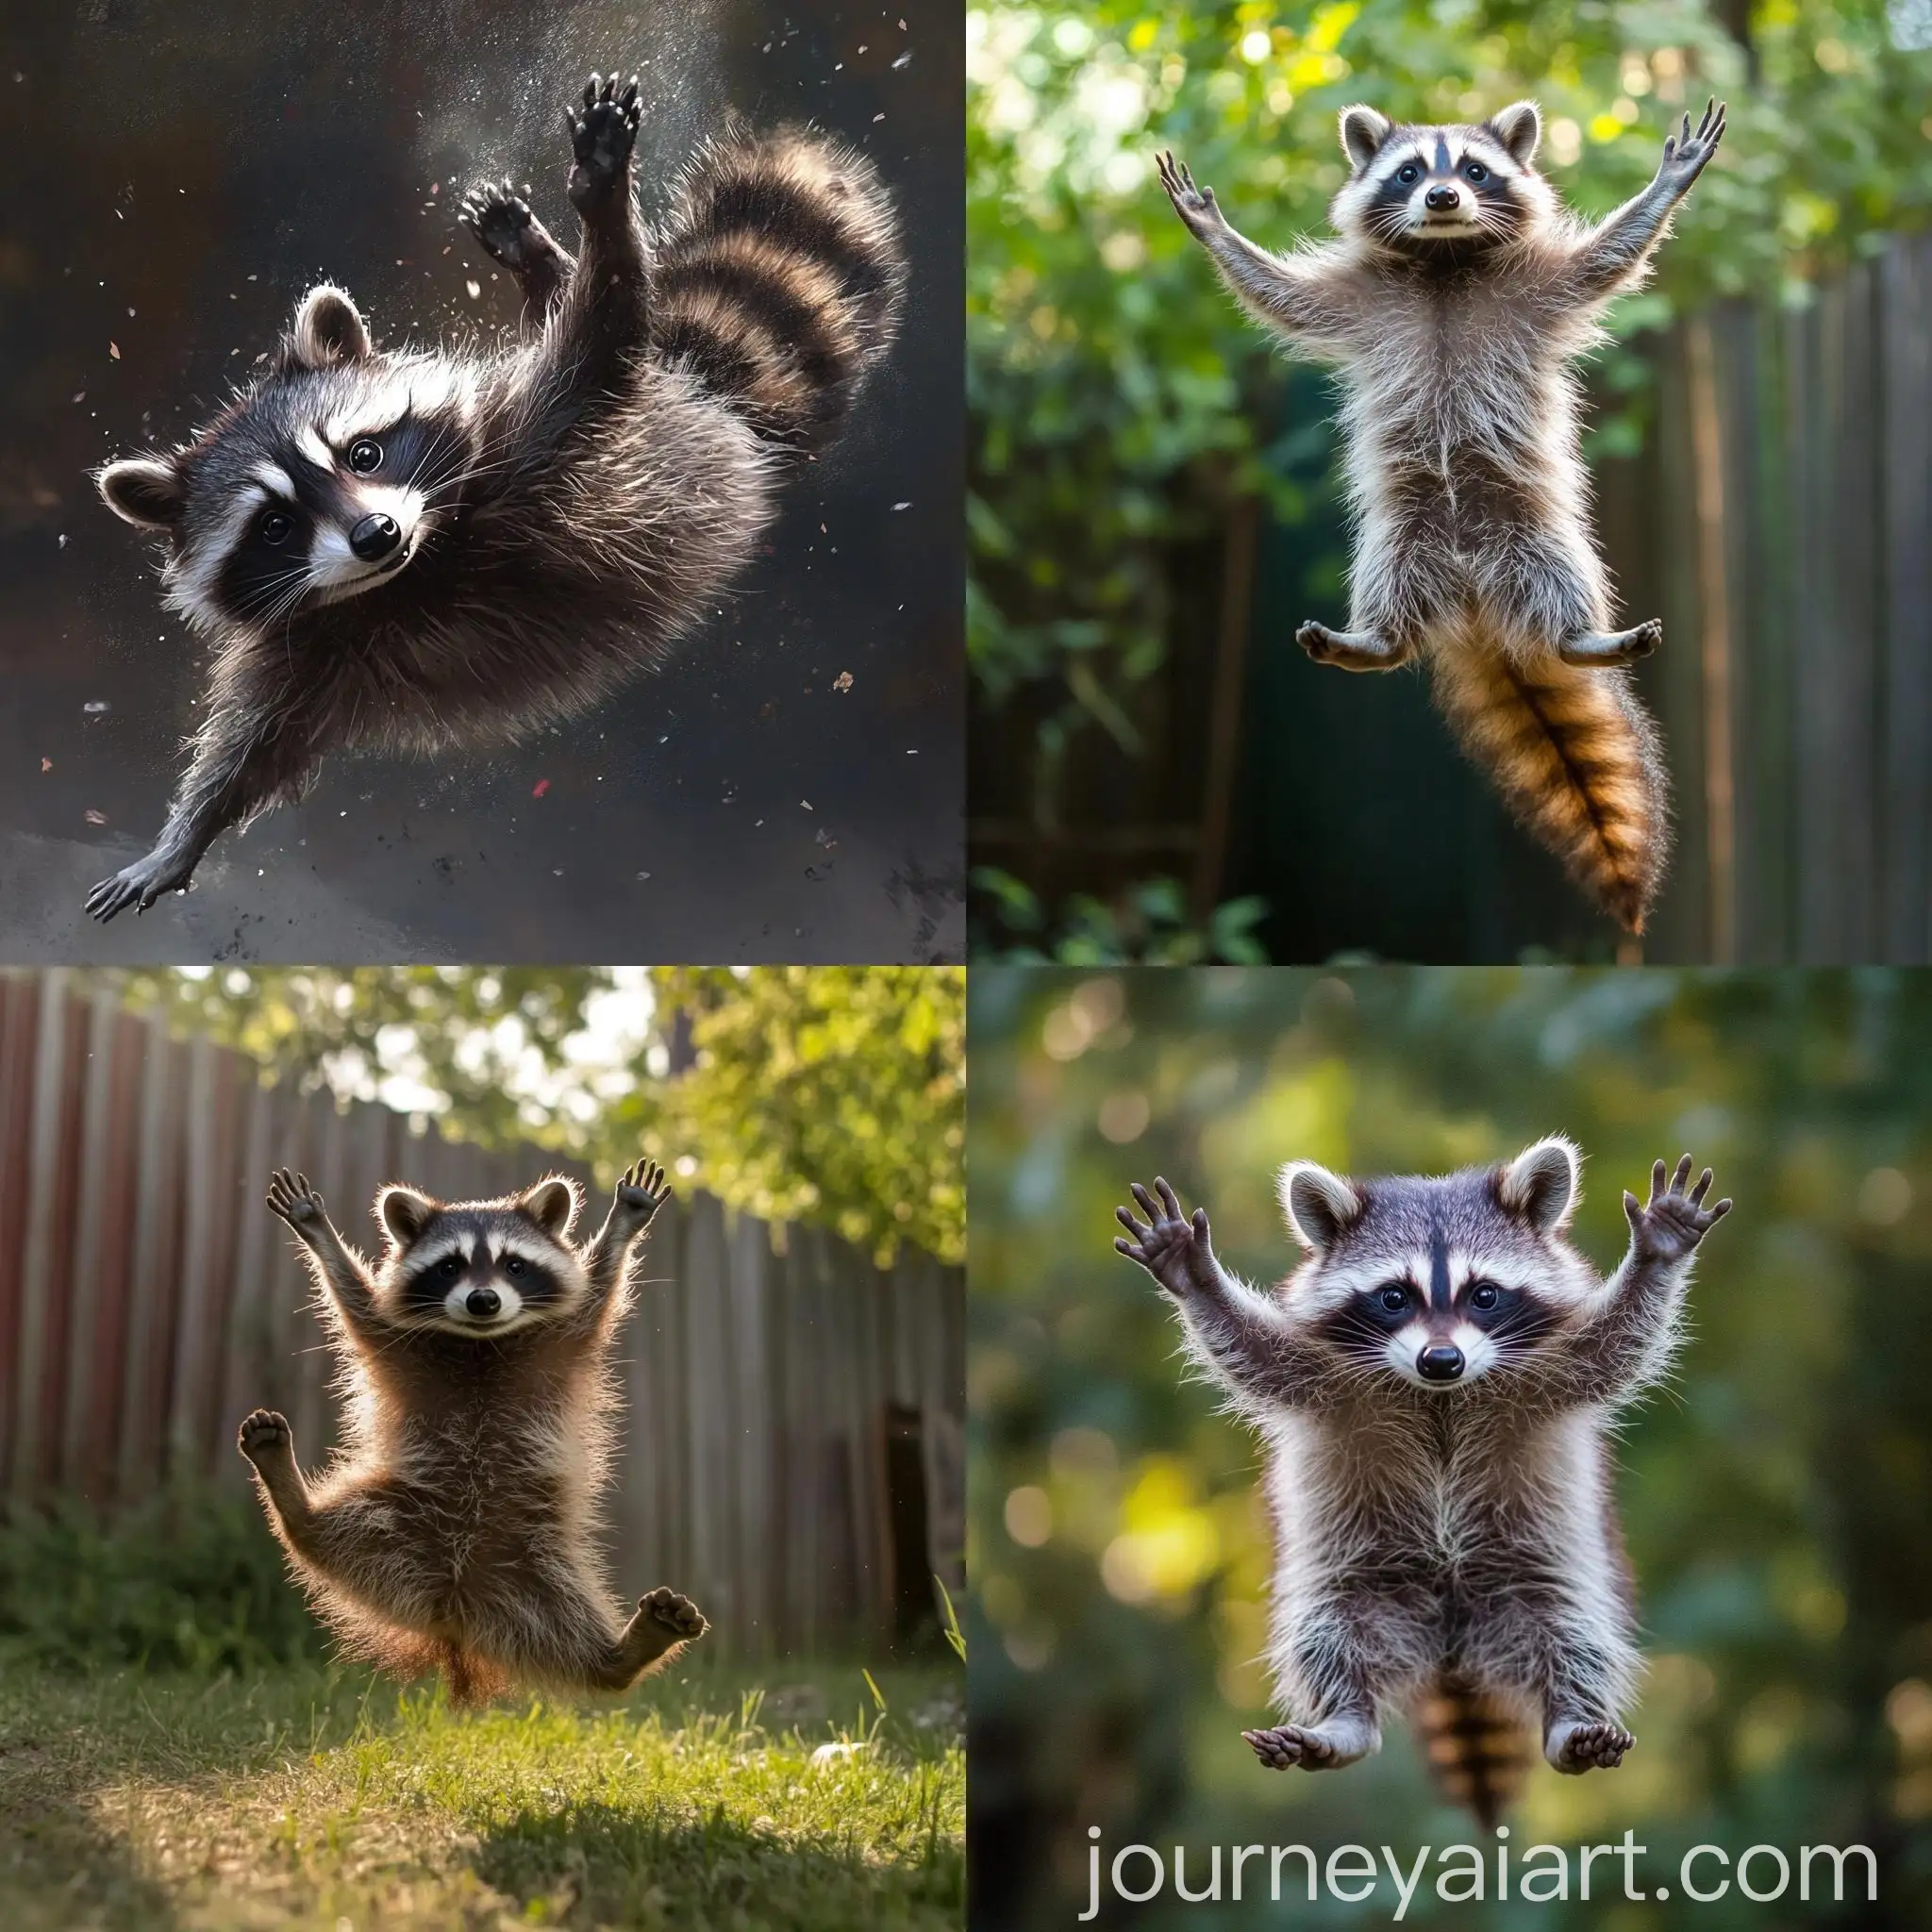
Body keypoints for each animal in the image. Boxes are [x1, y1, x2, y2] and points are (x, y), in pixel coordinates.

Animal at [88, 74, 904, 920]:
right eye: (275, 525)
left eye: (363, 452)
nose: (376, 535)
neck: (406, 578)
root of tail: (706, 389)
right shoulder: (301, 651)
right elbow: (251, 749)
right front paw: (183, 839)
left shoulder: (535, 445)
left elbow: (602, 341)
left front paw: (602, 203)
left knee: (626, 327)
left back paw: (561, 256)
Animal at [238, 1159, 705, 1704]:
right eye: (449, 1267)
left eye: (514, 1265)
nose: (483, 1300)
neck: (482, 1345)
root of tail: (453, 1610)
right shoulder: (400, 1346)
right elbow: (355, 1304)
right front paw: (317, 1232)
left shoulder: (563, 1341)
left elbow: (599, 1289)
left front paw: (624, 1225)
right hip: (391, 1520)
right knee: (320, 1534)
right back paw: (294, 1502)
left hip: (536, 1566)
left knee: (581, 1649)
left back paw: (622, 1655)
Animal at [1114, 1143, 1731, 1826]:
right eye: (1394, 1297)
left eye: (1484, 1294)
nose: (1442, 1360)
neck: (1441, 1398)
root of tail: (1451, 1652)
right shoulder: (1329, 1384)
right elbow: (1253, 1354)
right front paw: (1197, 1279)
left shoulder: (1546, 1378)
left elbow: (1616, 1343)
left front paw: (1657, 1257)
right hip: (1362, 1582)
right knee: (1325, 1633)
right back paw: (1347, 1720)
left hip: (1538, 1573)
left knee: (1575, 1632)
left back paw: (1569, 1717)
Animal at [1159, 99, 1726, 933]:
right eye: (1408, 173)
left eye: (1474, 170)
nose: (1442, 198)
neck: (1444, 261)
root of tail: (1476, 603)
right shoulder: (1359, 302)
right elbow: (1281, 294)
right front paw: (1217, 233)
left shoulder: (1537, 288)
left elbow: (1605, 259)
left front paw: (1666, 188)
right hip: (1402, 531)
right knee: (1386, 574)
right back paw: (1378, 640)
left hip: (1529, 523)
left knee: (1563, 567)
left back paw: (1579, 635)